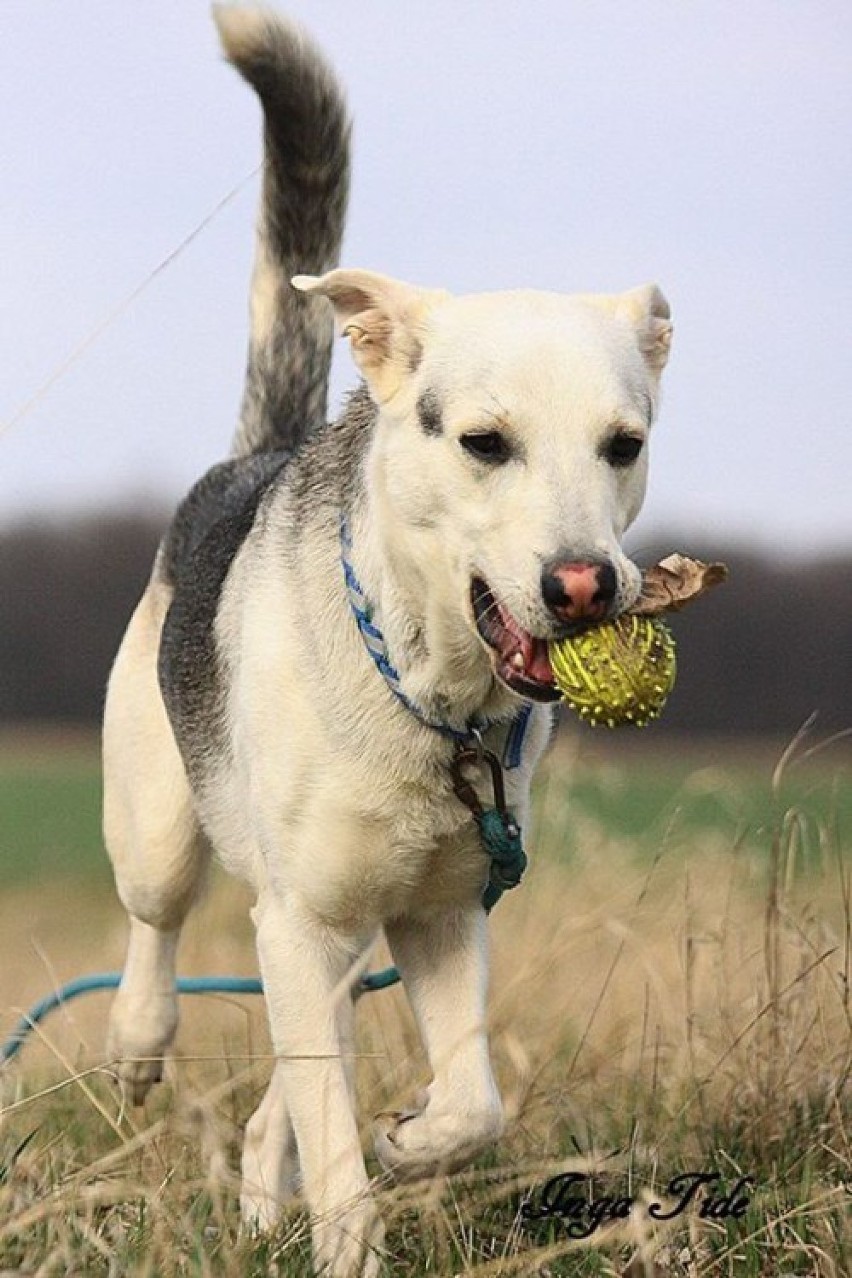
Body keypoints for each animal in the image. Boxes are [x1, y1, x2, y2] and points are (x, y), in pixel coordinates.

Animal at [101, 4, 674, 1272]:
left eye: (623, 445)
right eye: (483, 442)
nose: (583, 587)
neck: (432, 699)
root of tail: (263, 453)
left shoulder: (442, 914)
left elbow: (470, 1104)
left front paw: (409, 1141)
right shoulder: (302, 923)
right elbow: (334, 1137)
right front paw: (355, 1223)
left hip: (348, 934)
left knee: (282, 1091)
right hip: (161, 818)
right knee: (157, 923)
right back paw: (135, 1037)